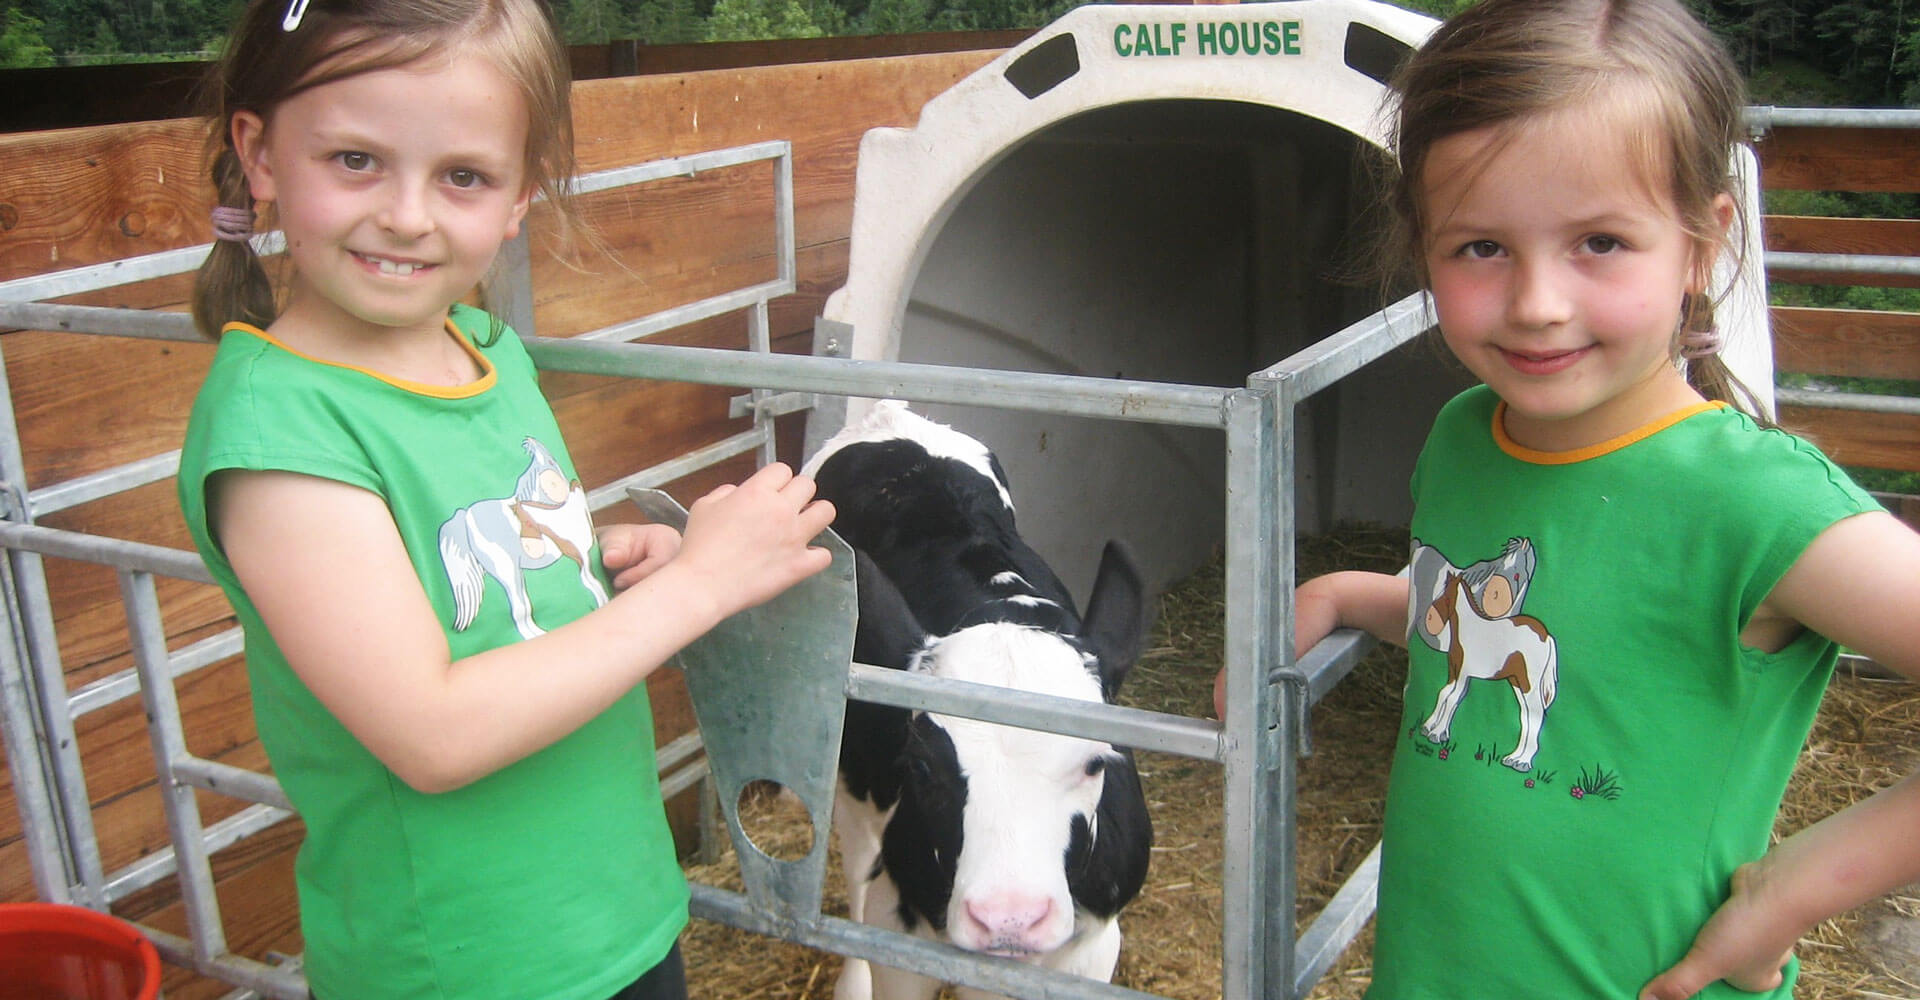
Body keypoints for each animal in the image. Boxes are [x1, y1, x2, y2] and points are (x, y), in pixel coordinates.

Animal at [798, 399, 1152, 998]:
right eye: (921, 768)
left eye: (1095, 764)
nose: (1009, 917)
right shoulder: (898, 924)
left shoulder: (1095, 945)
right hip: (852, 778)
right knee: (857, 863)